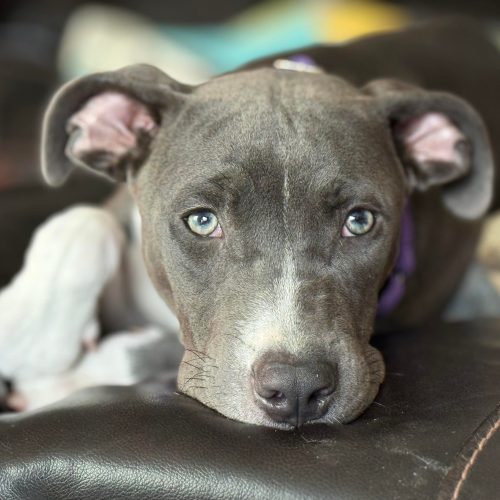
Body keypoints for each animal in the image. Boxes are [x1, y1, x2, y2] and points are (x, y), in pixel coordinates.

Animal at [1, 18, 499, 426]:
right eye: (202, 221)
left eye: (359, 221)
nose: (298, 387)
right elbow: (80, 223)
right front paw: (22, 333)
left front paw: (59, 379)